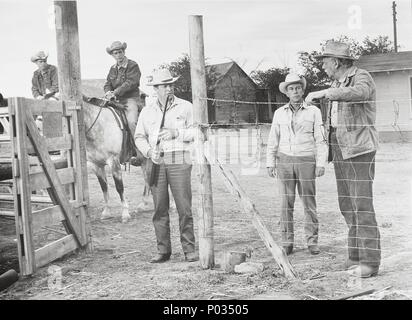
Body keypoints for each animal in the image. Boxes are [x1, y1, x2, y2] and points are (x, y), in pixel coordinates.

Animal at [81, 93, 151, 222]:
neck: (99, 126)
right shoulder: (96, 165)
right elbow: (104, 187)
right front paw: (106, 212)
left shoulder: (113, 161)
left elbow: (119, 187)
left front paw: (125, 214)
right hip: (144, 160)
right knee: (147, 178)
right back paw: (143, 205)